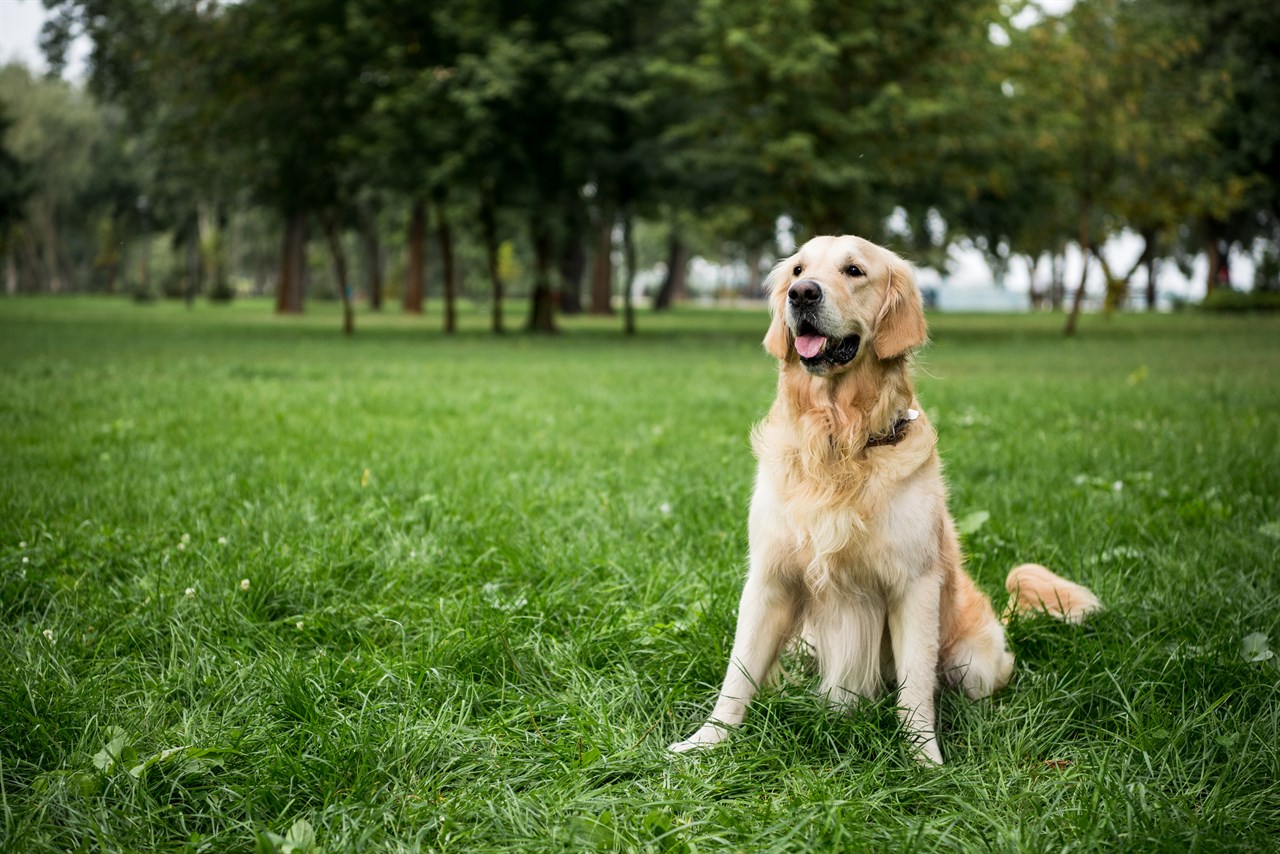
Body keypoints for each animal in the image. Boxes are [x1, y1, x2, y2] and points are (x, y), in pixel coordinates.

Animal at [670, 235, 1100, 768]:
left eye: (854, 271)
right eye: (797, 270)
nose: (802, 294)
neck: (840, 440)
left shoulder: (913, 585)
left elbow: (915, 688)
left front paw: (924, 760)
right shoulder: (769, 578)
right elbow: (739, 671)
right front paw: (706, 742)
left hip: (972, 663)